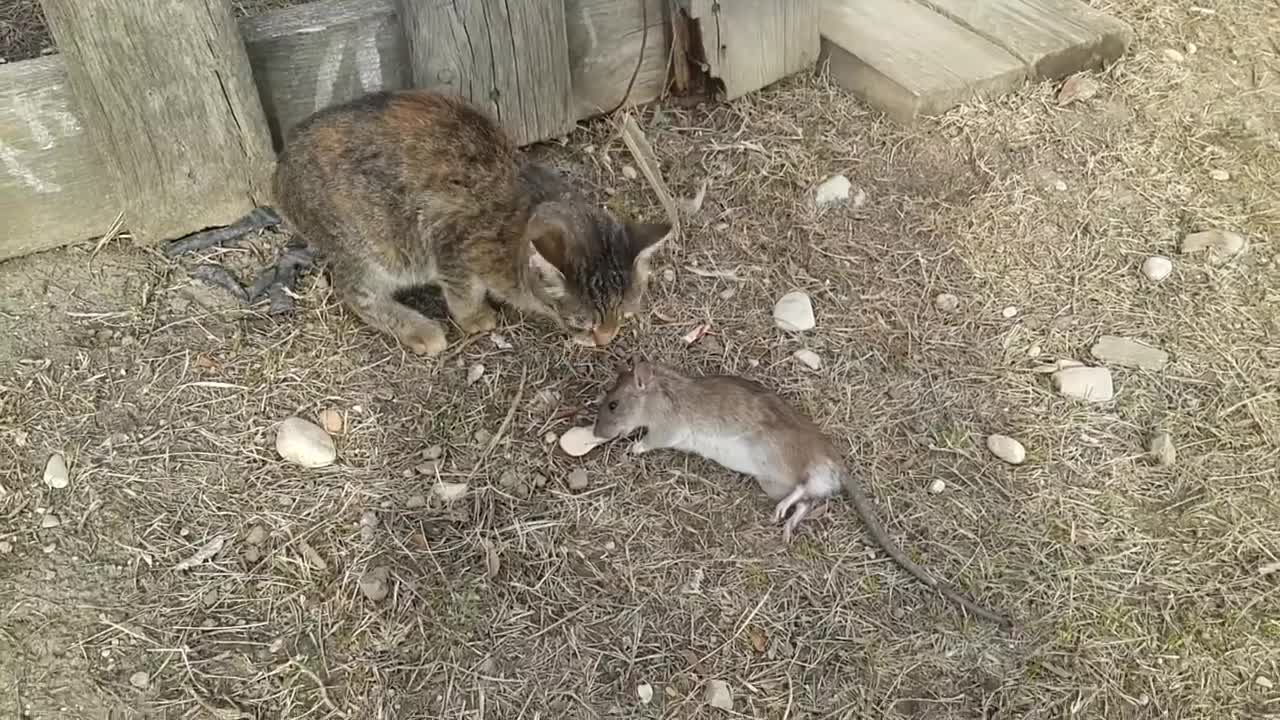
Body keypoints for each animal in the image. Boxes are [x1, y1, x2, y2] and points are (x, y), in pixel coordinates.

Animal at [270, 89, 670, 356]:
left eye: (623, 316)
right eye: (581, 322)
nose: (606, 338)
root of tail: (280, 172)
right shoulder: (448, 240)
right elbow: (463, 290)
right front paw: (474, 317)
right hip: (377, 247)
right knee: (354, 291)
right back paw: (418, 328)